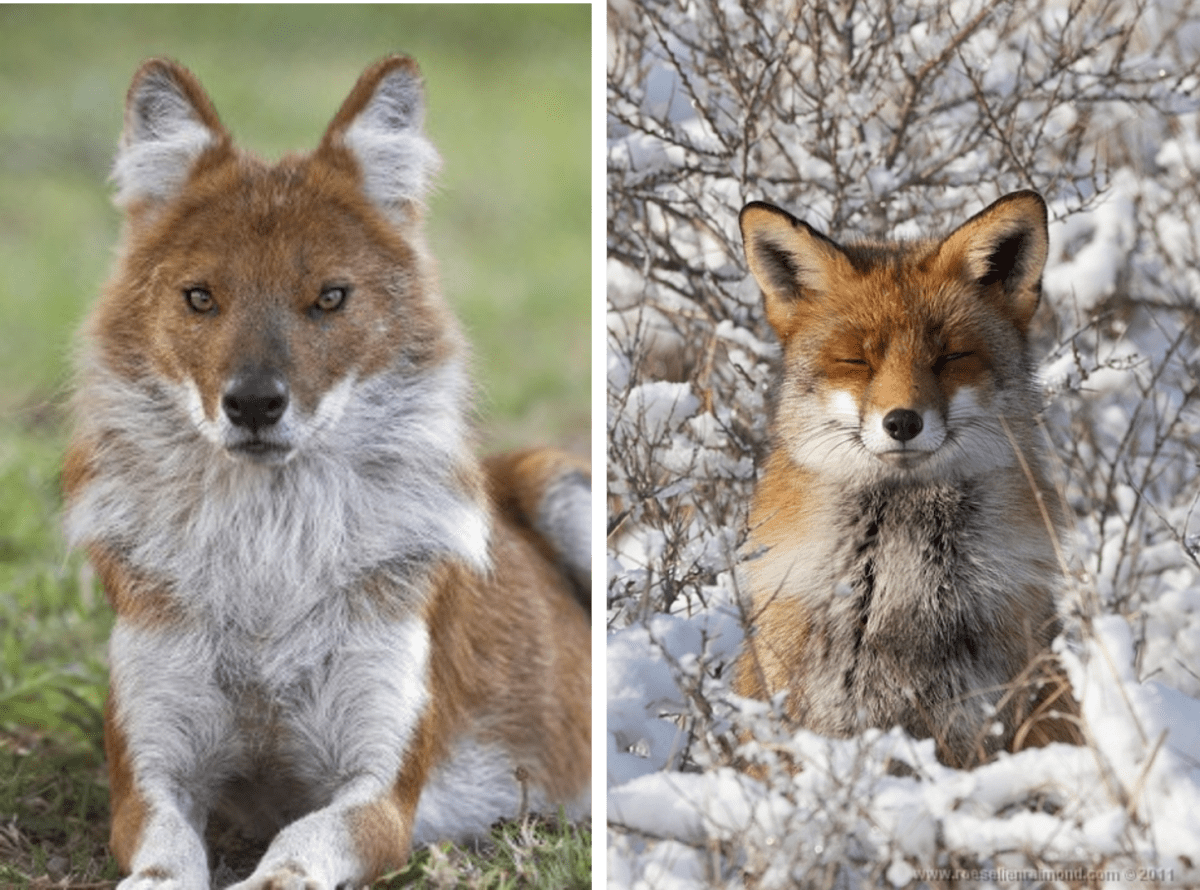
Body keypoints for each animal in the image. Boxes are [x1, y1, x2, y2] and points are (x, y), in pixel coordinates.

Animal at [62, 56, 591, 889]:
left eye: (331, 298)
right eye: (200, 297)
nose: (253, 403)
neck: (269, 563)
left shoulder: (379, 795)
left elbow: (297, 846)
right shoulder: (149, 781)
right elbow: (165, 863)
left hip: (561, 481)